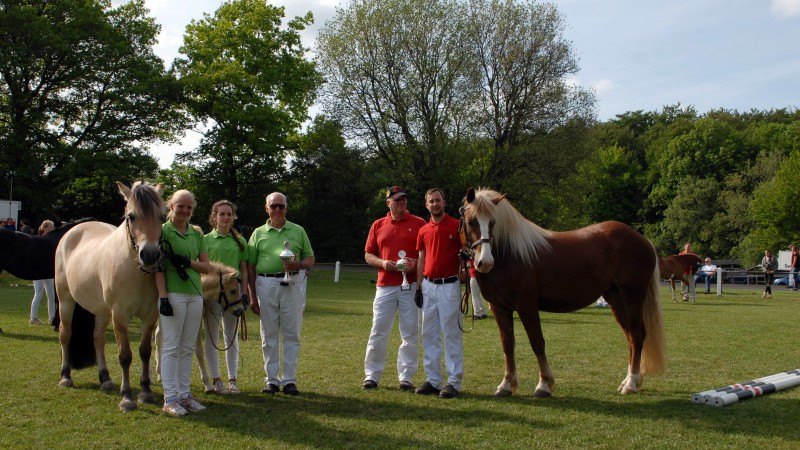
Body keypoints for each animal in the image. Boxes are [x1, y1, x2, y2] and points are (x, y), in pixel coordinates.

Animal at [54, 182, 164, 412]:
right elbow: (125, 356)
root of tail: (71, 232)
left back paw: (105, 378)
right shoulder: (120, 315)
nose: (150, 255)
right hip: (66, 300)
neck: (134, 269)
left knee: (98, 339)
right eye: (131, 216)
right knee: (65, 334)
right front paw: (127, 397)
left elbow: (144, 351)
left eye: (161, 216)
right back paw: (66, 377)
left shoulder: (150, 315)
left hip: (102, 311)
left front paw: (146, 392)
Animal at [460, 188, 664, 396]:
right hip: (616, 298)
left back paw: (631, 384)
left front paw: (544, 385)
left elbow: (537, 342)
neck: (511, 254)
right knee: (630, 335)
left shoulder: (527, 306)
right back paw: (629, 381)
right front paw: (506, 385)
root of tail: (642, 239)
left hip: (632, 296)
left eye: (492, 222)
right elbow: (508, 344)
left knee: (637, 335)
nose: (485, 262)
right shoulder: (499, 307)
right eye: (471, 221)